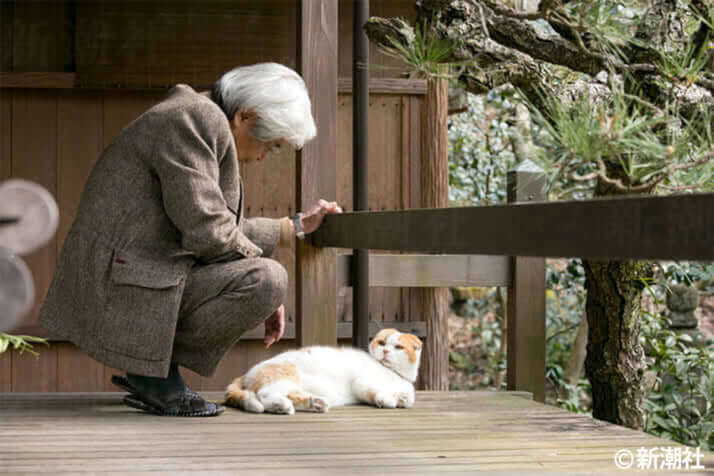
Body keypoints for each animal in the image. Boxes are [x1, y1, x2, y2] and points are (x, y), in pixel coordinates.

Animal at [225, 330, 420, 414]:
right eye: (382, 343)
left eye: (398, 347)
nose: (385, 351)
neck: (393, 374)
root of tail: (247, 372)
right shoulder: (361, 383)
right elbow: (376, 391)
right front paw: (387, 400)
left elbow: (408, 397)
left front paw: (401, 398)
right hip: (285, 375)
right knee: (264, 396)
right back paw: (282, 406)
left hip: (291, 385)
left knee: (287, 396)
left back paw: (315, 403)